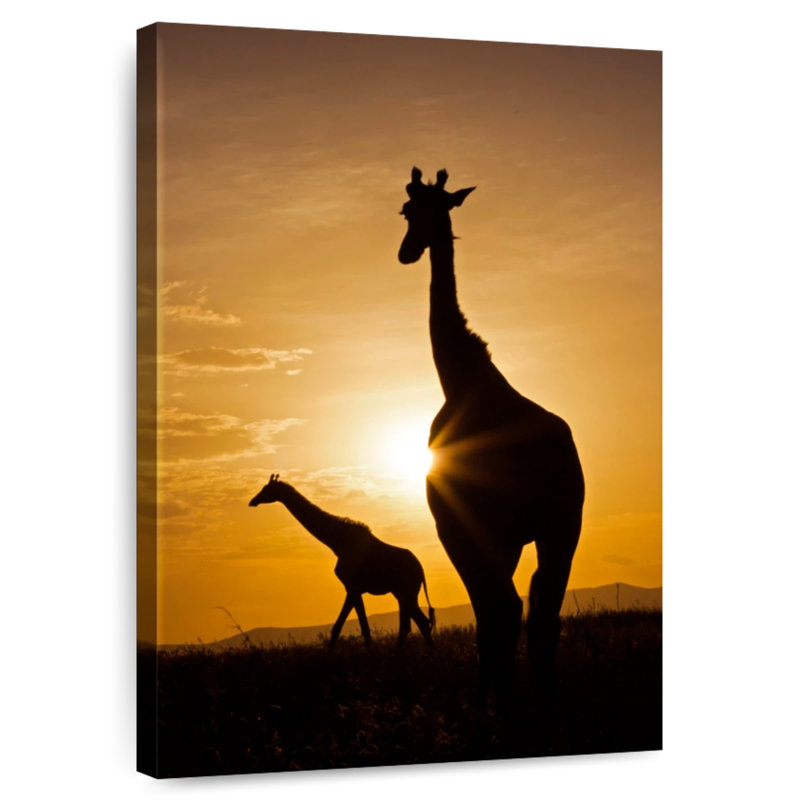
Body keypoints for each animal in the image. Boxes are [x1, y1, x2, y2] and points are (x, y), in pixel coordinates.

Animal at [249, 474, 435, 649]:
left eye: (267, 489)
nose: (252, 501)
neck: (337, 543)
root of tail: (421, 570)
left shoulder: (352, 587)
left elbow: (346, 627)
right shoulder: (354, 589)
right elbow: (354, 628)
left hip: (407, 592)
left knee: (420, 623)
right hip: (402, 593)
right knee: (413, 624)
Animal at [398, 167, 585, 712]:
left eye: (436, 209)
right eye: (407, 211)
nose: (407, 251)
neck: (463, 380)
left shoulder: (457, 526)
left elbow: (488, 615)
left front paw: (485, 707)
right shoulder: (503, 535)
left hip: (516, 527)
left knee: (508, 608)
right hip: (556, 526)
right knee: (540, 613)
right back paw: (545, 702)